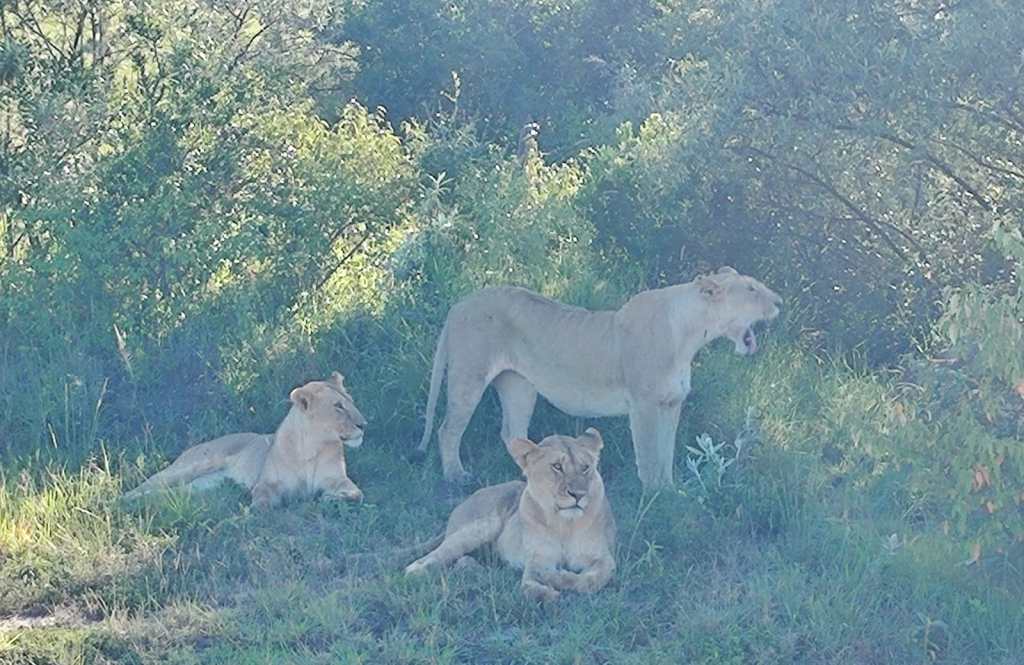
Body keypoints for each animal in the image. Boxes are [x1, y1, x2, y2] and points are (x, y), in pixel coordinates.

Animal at [123, 372, 366, 508]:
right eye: (338, 406)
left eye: (352, 402)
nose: (364, 424)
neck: (312, 447)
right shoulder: (265, 483)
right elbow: (261, 503)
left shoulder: (338, 480)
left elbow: (357, 495)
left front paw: (329, 499)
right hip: (188, 467)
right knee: (146, 485)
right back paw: (123, 501)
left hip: (204, 487)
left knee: (168, 494)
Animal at [405, 428, 615, 603]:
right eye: (557, 466)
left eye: (585, 467)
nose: (579, 494)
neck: (564, 524)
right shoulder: (537, 559)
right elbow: (529, 587)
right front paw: (550, 587)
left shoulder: (604, 558)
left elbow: (589, 581)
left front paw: (562, 578)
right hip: (483, 525)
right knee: (439, 554)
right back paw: (416, 571)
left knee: (463, 560)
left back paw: (478, 570)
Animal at [415, 266, 782, 490]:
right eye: (752, 289)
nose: (779, 300)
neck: (691, 335)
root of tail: (459, 304)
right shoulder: (644, 405)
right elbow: (650, 454)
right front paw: (653, 495)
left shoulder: (671, 403)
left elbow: (666, 452)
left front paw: (670, 490)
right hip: (469, 374)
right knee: (448, 429)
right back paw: (456, 477)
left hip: (519, 385)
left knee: (512, 432)